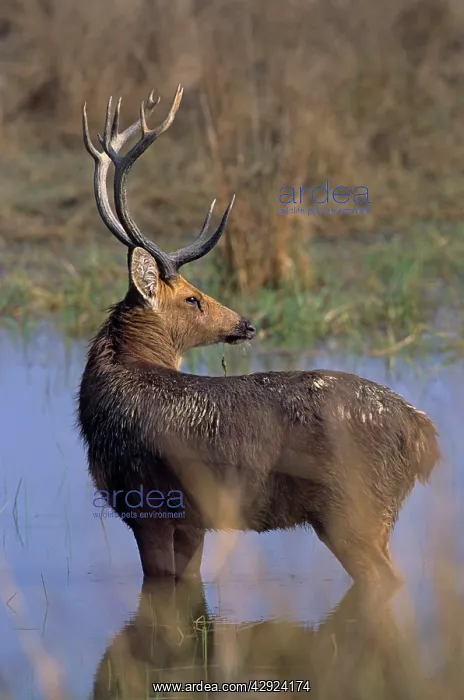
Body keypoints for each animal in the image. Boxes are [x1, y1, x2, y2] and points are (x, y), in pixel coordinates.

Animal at [77, 84, 440, 591]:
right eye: (193, 298)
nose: (246, 323)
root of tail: (423, 434)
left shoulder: (147, 505)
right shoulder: (190, 521)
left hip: (354, 511)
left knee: (386, 581)